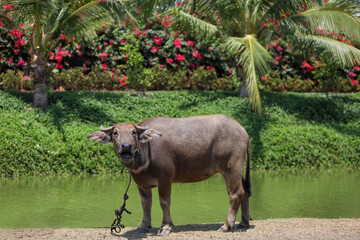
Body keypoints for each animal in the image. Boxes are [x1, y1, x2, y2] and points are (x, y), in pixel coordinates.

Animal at [88, 114, 250, 234]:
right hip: (237, 170)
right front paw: (143, 226)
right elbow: (146, 204)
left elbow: (164, 202)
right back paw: (244, 222)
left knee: (235, 194)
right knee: (245, 191)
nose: (126, 147)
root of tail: (242, 129)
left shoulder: (164, 179)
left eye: (133, 132)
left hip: (232, 167)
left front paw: (165, 226)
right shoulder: (142, 184)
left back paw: (226, 226)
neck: (146, 152)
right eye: (115, 133)